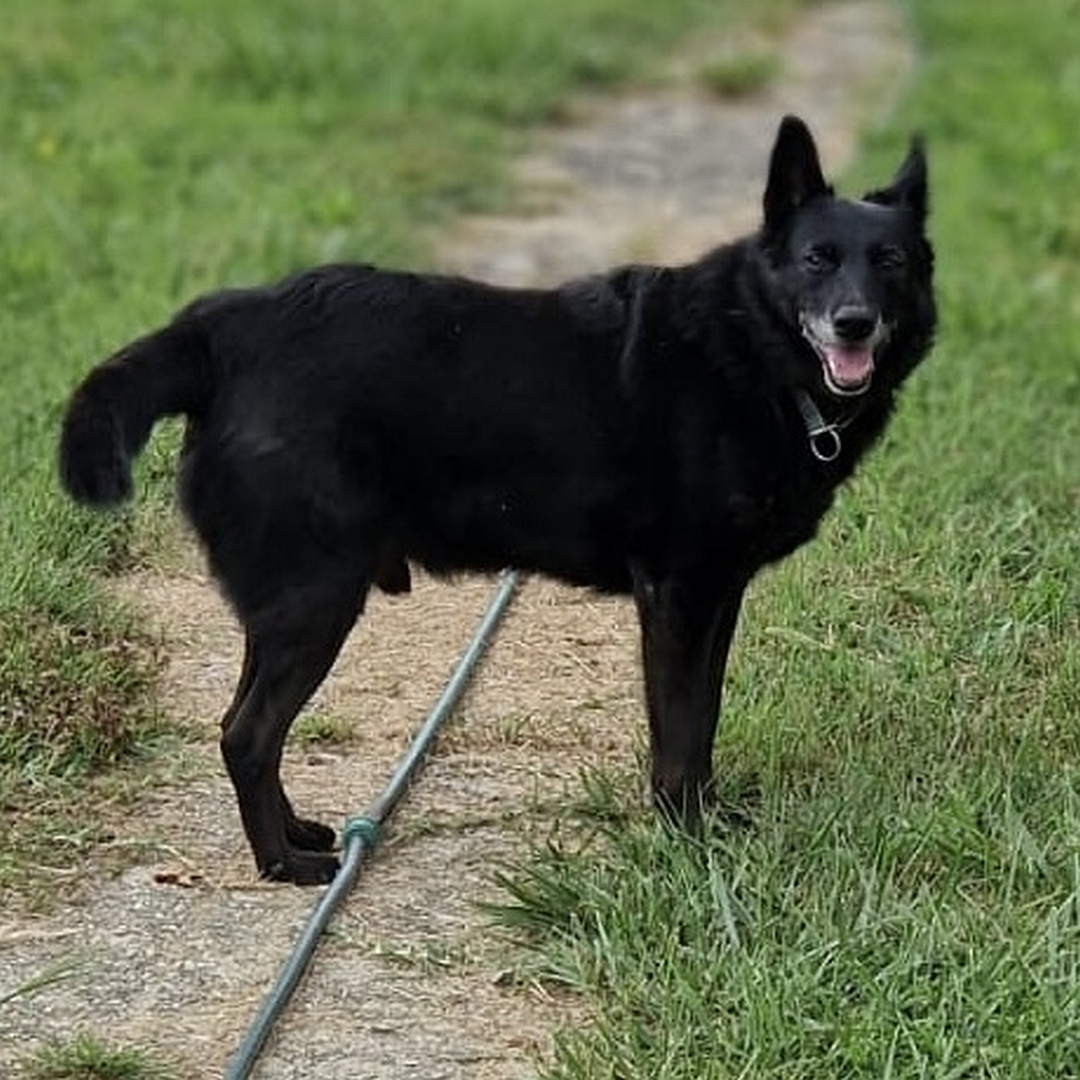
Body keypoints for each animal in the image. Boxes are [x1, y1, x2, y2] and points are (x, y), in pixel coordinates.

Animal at [61, 113, 937, 881]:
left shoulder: (714, 598)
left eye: (890, 261)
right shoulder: (680, 597)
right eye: (818, 258)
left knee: (242, 727)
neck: (751, 349)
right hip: (317, 600)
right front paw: (689, 836)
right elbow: (681, 733)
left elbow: (704, 724)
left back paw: (298, 832)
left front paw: (706, 821)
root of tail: (222, 329)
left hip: (288, 605)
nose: (855, 323)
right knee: (247, 735)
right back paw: (283, 864)